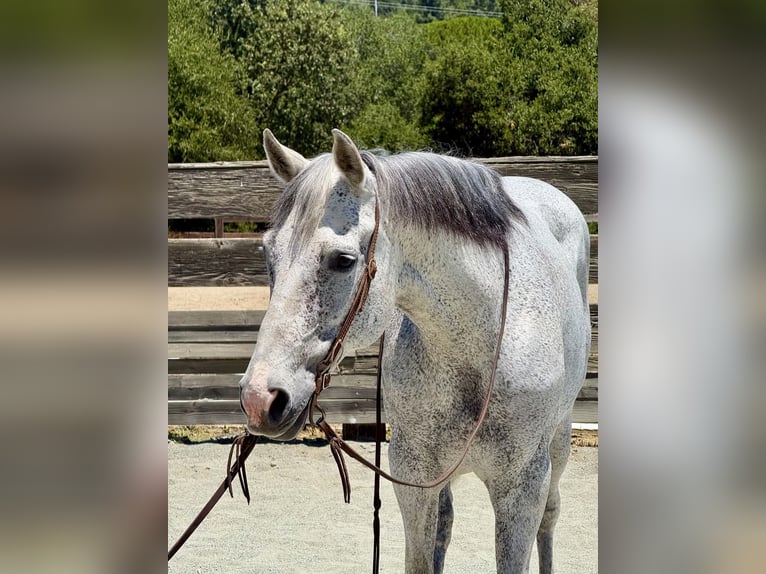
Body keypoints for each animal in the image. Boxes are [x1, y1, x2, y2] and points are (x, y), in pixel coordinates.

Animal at [239, 128, 591, 574]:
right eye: (269, 252)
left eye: (343, 260)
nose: (259, 400)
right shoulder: (414, 477)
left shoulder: (523, 487)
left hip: (558, 446)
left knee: (551, 515)